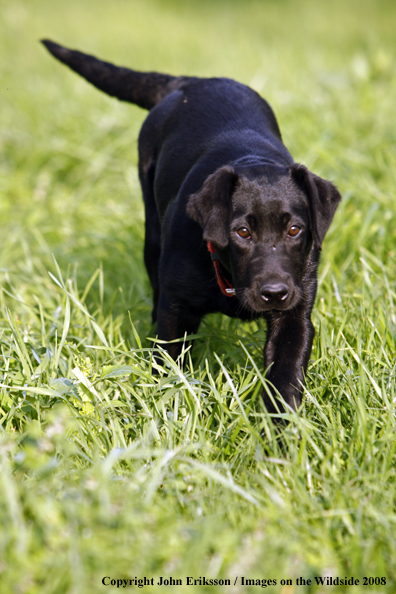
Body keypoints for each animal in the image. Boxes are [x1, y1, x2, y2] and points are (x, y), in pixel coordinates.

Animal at [42, 40, 340, 412]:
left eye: (295, 230)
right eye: (242, 232)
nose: (274, 292)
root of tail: (191, 81)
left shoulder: (296, 310)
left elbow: (286, 373)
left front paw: (281, 424)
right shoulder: (176, 310)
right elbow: (169, 365)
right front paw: (168, 410)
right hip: (152, 234)